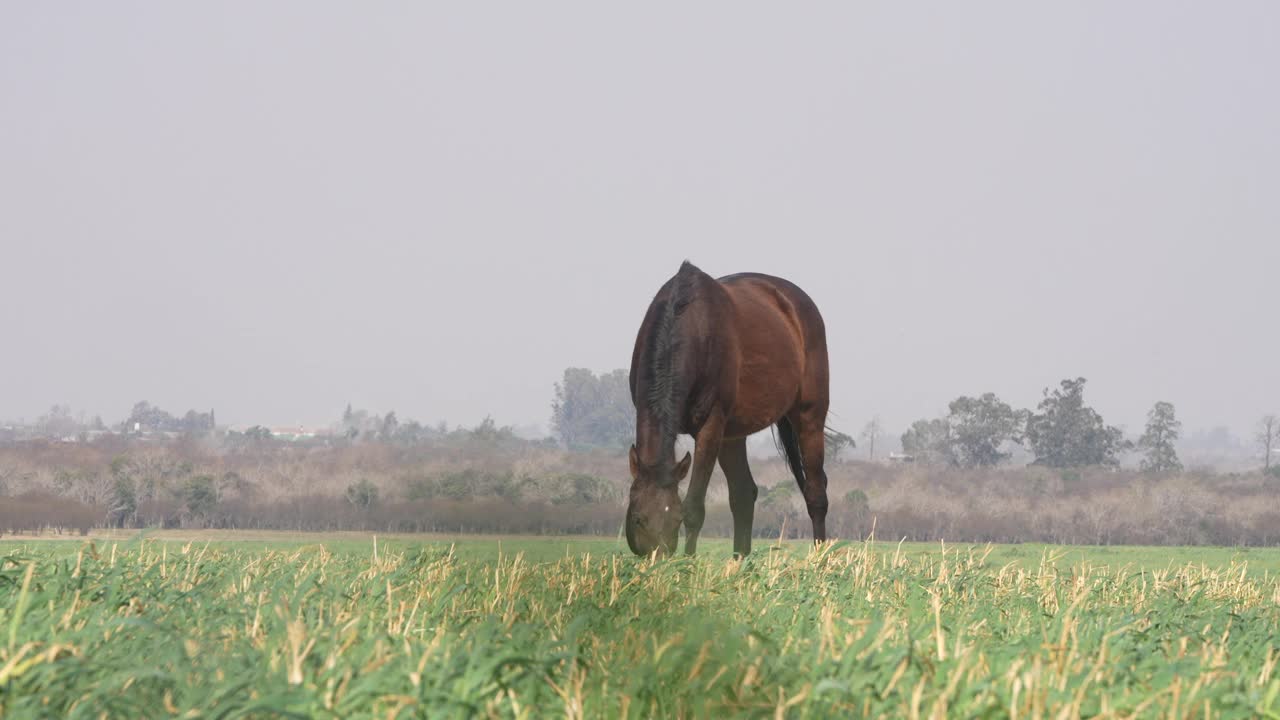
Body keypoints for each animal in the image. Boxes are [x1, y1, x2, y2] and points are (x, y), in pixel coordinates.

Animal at [627, 258, 829, 556]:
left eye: (675, 519)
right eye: (638, 519)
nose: (659, 558)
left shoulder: (711, 425)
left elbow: (695, 508)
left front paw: (687, 563)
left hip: (809, 416)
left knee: (816, 492)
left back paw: (820, 559)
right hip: (734, 433)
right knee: (744, 494)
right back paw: (740, 561)